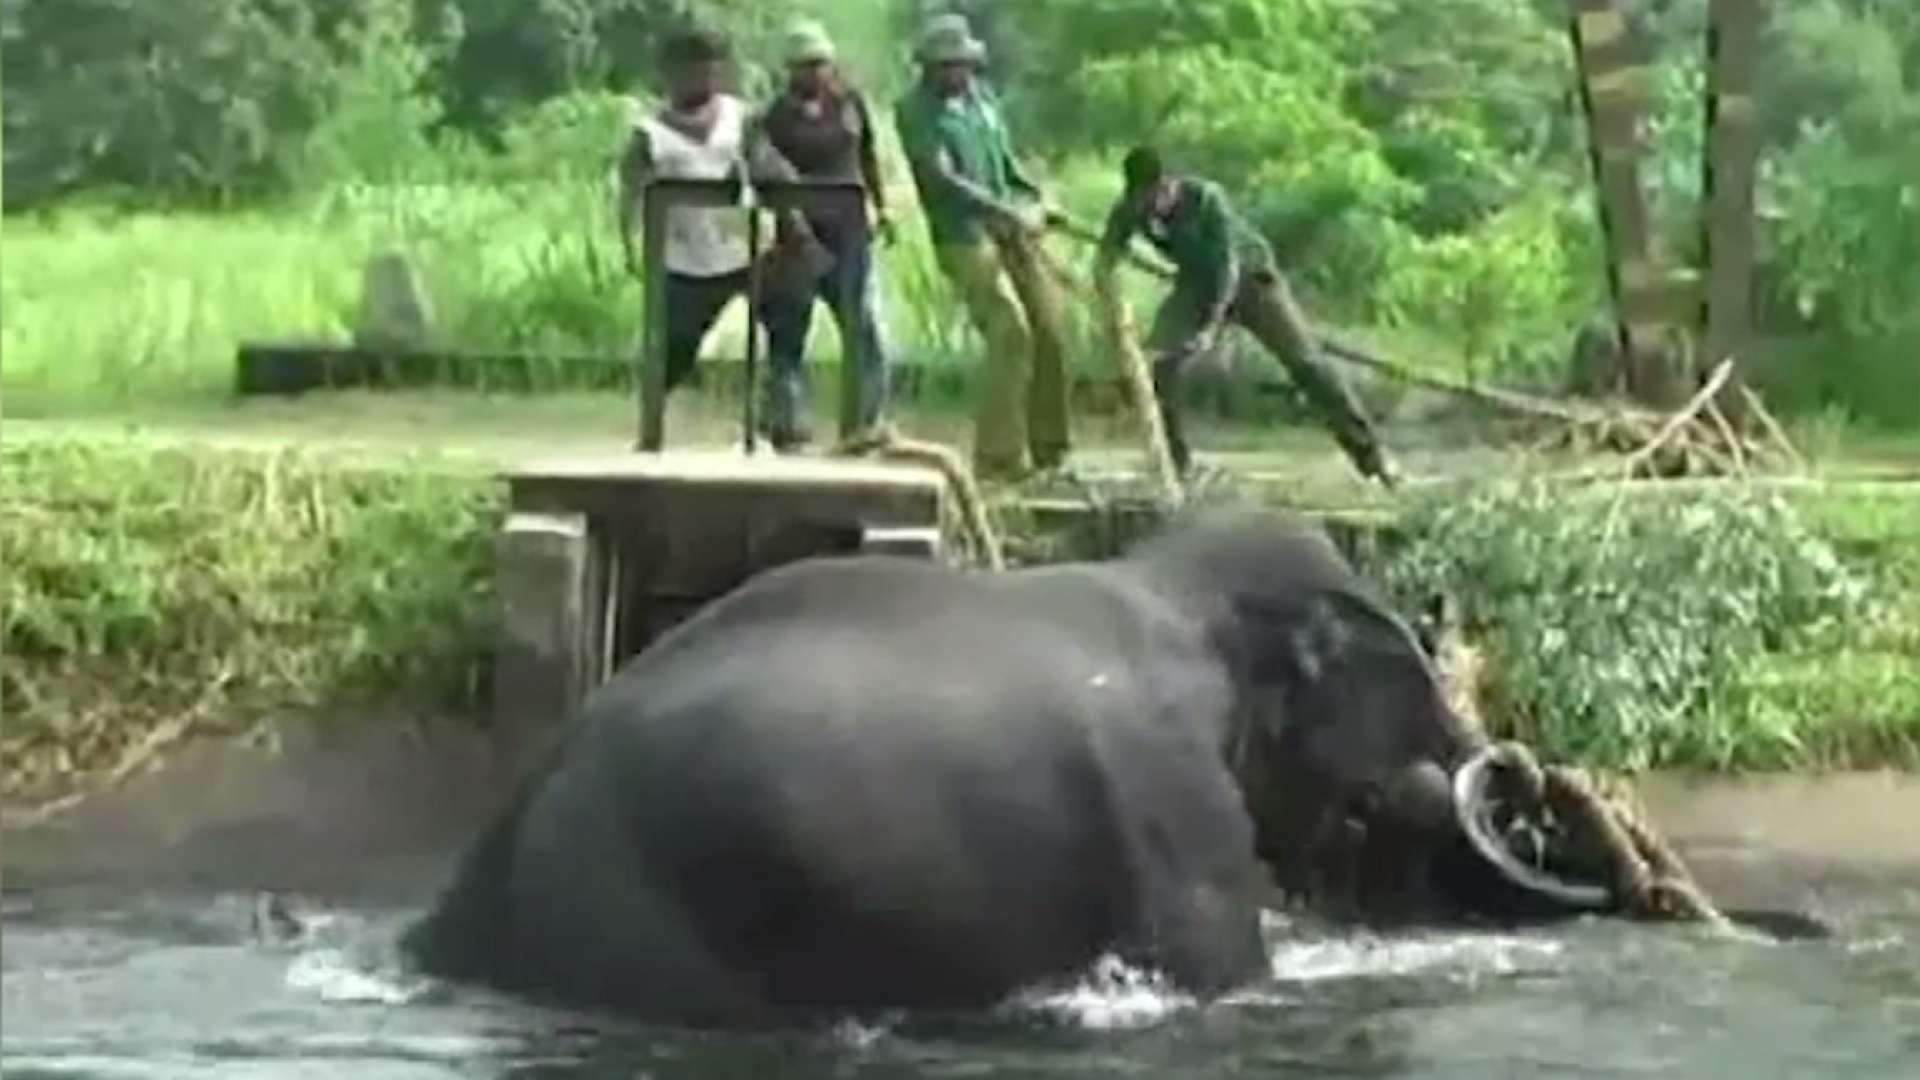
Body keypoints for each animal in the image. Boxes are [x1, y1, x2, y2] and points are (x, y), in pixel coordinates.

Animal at [399, 507, 1767, 1027]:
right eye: (1420, 711)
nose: (1515, 775)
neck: (1175, 580)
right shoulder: (1169, 802)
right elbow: (1219, 969)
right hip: (645, 911)